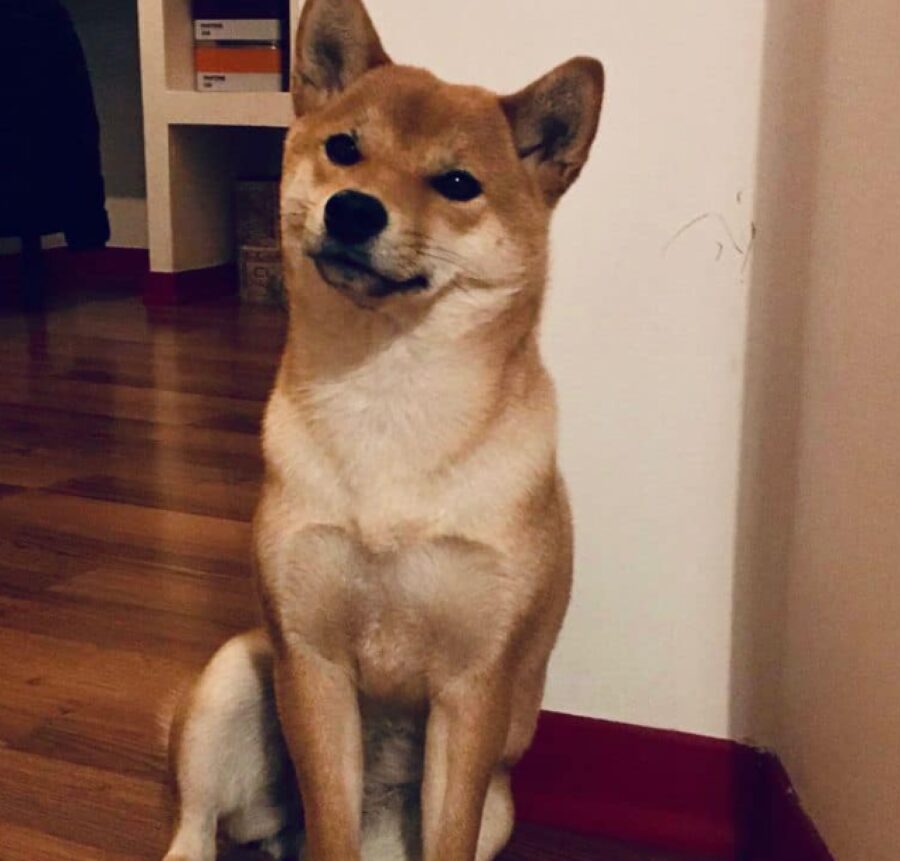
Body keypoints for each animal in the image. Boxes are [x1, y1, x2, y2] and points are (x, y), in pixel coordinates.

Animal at [163, 1, 604, 860]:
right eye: (344, 148)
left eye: (458, 183)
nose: (355, 207)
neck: (389, 400)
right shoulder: (312, 662)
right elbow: (328, 822)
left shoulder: (473, 687)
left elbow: (448, 831)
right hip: (234, 677)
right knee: (198, 826)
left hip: (498, 805)